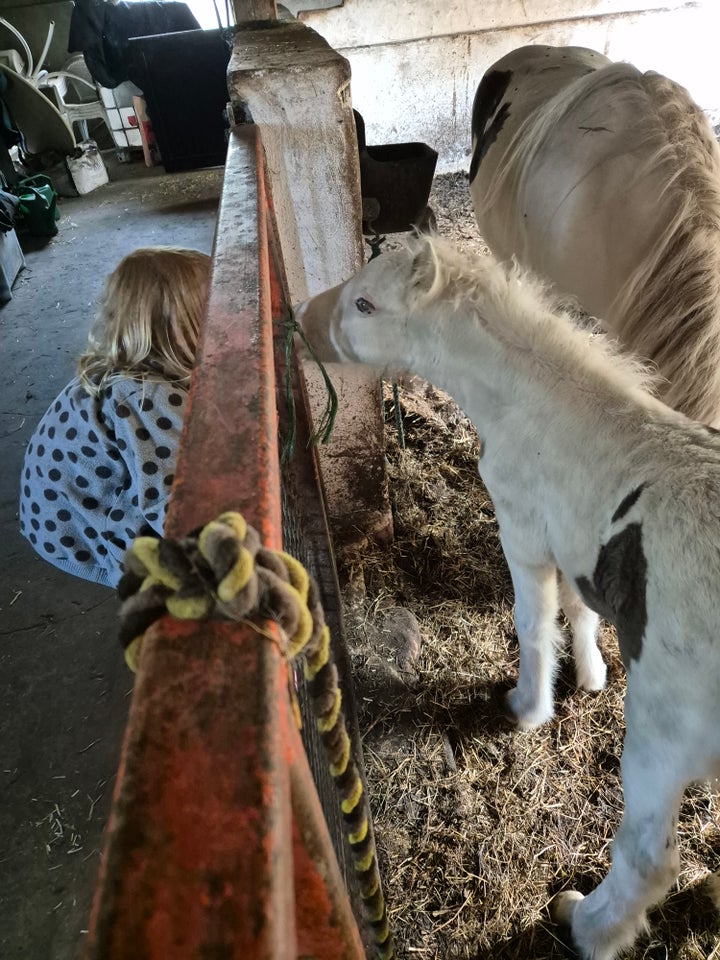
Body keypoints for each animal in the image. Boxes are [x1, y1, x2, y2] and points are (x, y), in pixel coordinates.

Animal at [294, 234, 720, 960]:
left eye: (365, 303)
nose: (301, 316)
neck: (538, 406)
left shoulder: (521, 529)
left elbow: (533, 619)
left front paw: (528, 707)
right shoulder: (566, 536)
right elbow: (578, 609)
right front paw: (591, 677)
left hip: (665, 729)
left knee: (645, 857)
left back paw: (584, 923)